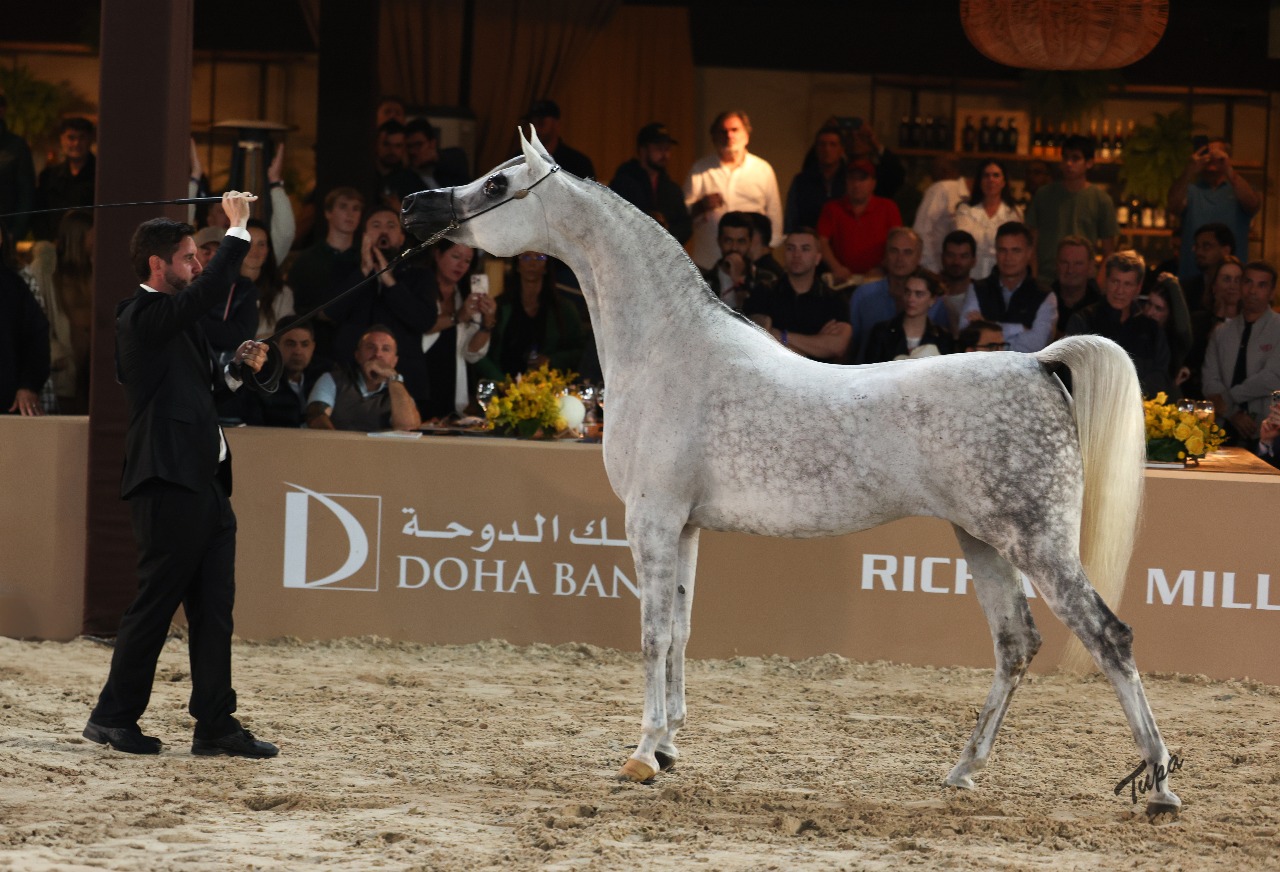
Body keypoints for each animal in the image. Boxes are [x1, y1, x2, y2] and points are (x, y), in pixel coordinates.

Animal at [401, 128, 1180, 817]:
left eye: (496, 184)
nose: (415, 206)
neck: (669, 350)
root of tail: (1039, 363)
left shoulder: (650, 520)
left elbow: (653, 635)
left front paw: (642, 755)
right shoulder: (684, 527)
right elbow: (680, 630)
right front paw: (670, 748)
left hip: (1039, 544)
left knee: (1109, 637)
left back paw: (1161, 787)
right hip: (984, 543)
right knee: (1016, 645)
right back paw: (962, 772)